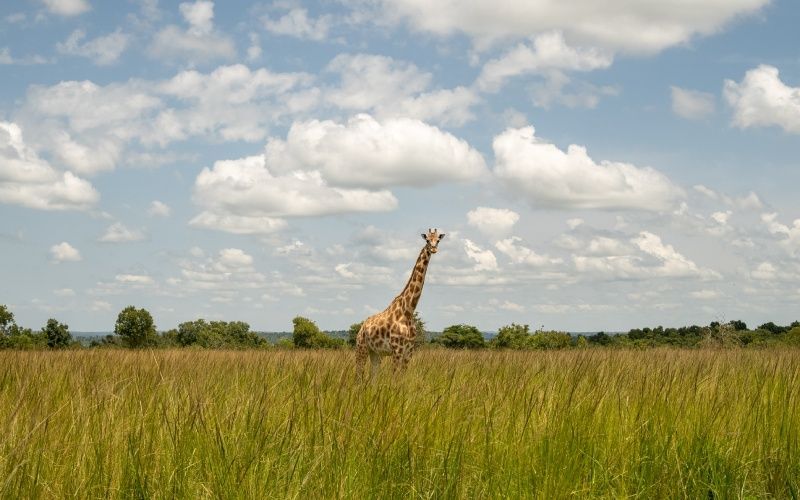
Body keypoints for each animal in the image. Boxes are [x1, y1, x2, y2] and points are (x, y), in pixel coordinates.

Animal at [355, 228, 445, 379]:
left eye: (438, 240)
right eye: (427, 240)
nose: (433, 249)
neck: (408, 310)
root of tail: (362, 327)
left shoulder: (409, 351)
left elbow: (401, 378)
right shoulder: (397, 349)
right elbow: (394, 378)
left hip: (375, 353)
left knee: (373, 377)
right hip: (361, 347)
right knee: (359, 374)